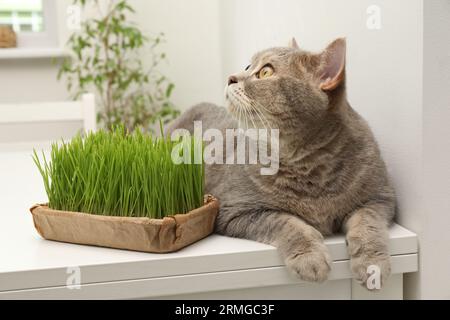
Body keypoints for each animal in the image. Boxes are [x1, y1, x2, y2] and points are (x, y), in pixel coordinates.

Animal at [167, 38, 396, 290]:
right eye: (248, 66)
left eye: (265, 72)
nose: (230, 77)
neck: (308, 167)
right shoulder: (235, 210)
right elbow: (286, 222)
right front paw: (310, 258)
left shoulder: (380, 197)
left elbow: (368, 224)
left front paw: (373, 265)